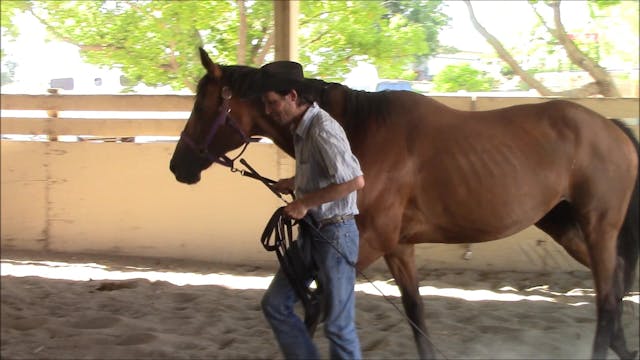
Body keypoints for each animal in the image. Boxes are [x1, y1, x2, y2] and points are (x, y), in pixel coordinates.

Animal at [171, 48, 640, 360]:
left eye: (203, 105)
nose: (179, 166)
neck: (359, 130)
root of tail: (611, 128)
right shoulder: (398, 246)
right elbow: (416, 314)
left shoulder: (366, 243)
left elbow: (318, 307)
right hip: (567, 227)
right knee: (615, 283)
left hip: (597, 227)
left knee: (605, 297)